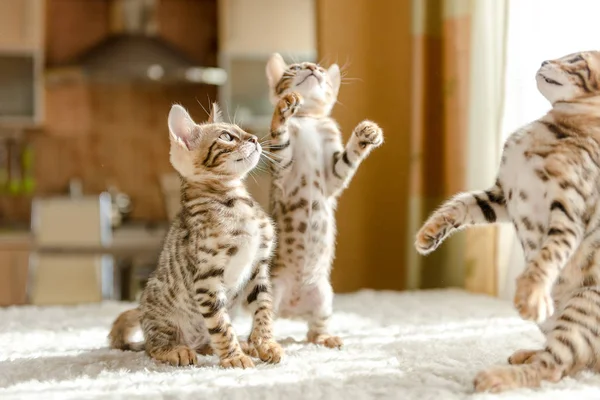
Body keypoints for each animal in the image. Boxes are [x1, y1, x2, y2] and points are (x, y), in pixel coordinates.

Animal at [110, 102, 284, 368]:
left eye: (243, 131)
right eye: (226, 137)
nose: (254, 138)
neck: (236, 203)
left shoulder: (258, 266)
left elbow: (263, 308)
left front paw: (265, 344)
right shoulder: (207, 278)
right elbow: (221, 325)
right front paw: (234, 357)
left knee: (204, 341)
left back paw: (241, 345)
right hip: (162, 316)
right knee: (153, 347)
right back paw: (176, 350)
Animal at [414, 49, 600, 390]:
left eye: (576, 60)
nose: (543, 61)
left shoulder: (569, 212)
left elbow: (547, 255)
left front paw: (531, 294)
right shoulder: (501, 195)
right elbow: (461, 204)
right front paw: (429, 232)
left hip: (583, 308)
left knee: (555, 367)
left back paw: (495, 376)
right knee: (568, 363)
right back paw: (525, 353)